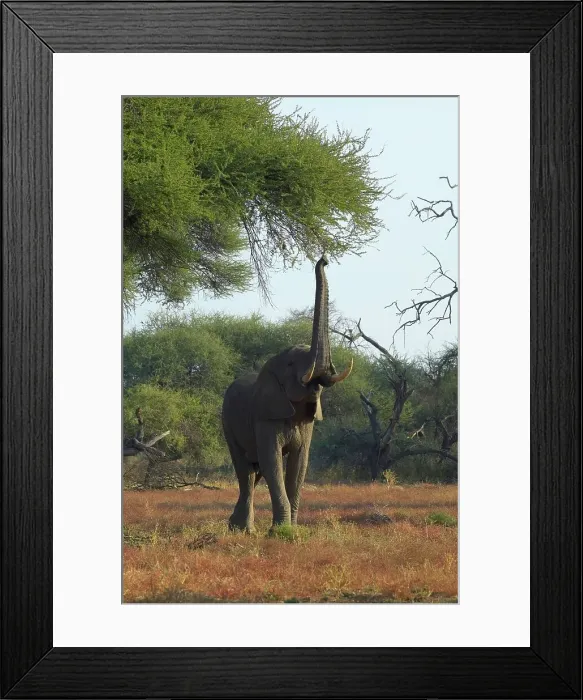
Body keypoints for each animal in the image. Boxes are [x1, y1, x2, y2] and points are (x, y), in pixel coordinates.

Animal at [221, 256, 353, 532]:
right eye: (291, 364)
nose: (324, 259)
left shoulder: (307, 422)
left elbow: (298, 465)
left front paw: (291, 530)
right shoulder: (265, 415)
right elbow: (273, 462)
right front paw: (279, 532)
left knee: (254, 471)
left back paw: (236, 527)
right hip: (227, 424)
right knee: (245, 471)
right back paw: (244, 531)